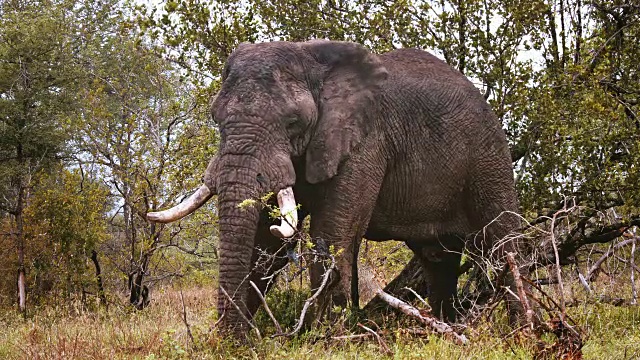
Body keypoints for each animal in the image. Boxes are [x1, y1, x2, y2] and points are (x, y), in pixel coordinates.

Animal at [148, 39, 524, 334]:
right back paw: (452, 326)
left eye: (293, 122)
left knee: (502, 242)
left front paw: (323, 339)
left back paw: (523, 331)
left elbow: (330, 234)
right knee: (438, 259)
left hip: (488, 157)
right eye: (216, 117)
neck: (312, 59)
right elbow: (265, 243)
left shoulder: (366, 142)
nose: (234, 339)